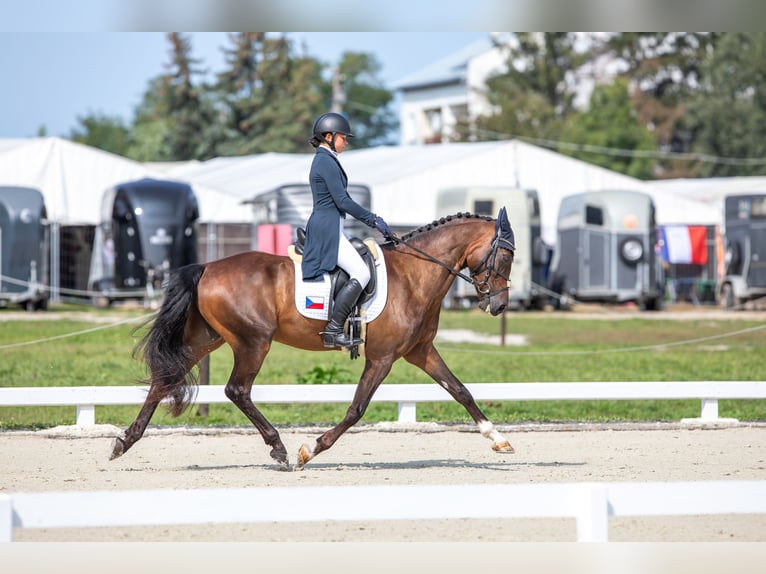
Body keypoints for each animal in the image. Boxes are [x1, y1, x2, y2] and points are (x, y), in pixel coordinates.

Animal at [111, 209, 520, 470]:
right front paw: (312, 449)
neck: (414, 275)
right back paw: (278, 448)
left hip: (207, 339)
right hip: (253, 341)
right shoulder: (382, 358)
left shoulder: (420, 352)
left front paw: (498, 438)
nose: (499, 305)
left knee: (165, 382)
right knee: (236, 390)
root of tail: (208, 266)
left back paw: (124, 442)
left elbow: (461, 391)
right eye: (505, 256)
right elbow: (357, 409)